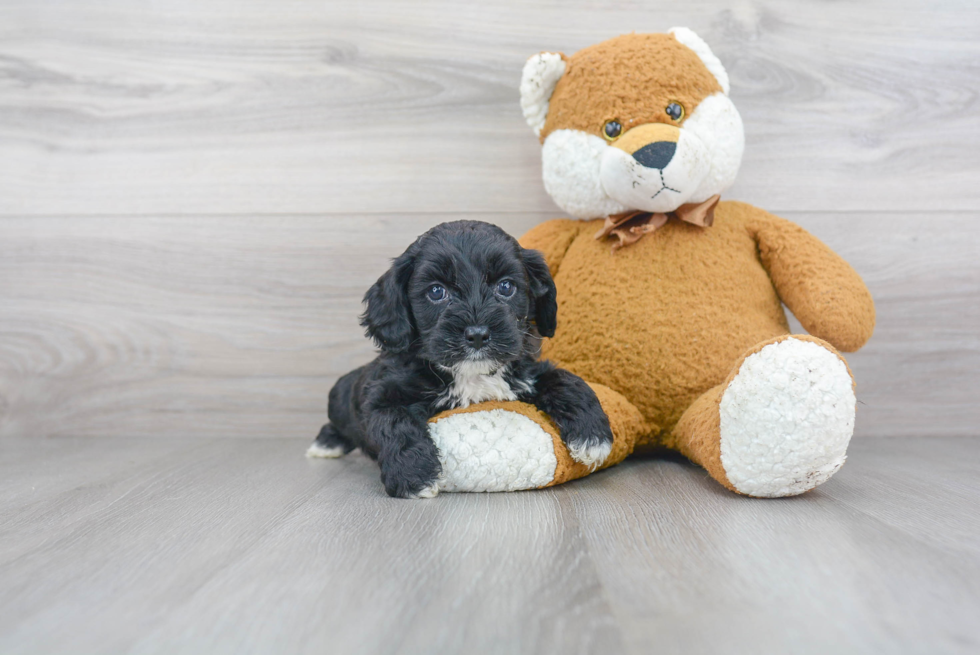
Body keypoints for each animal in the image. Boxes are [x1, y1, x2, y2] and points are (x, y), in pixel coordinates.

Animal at [306, 220, 612, 498]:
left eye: (506, 287)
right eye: (436, 291)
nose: (477, 335)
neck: (469, 374)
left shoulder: (525, 372)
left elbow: (563, 378)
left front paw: (593, 435)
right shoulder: (382, 394)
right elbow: (394, 423)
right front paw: (414, 477)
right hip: (340, 402)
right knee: (335, 425)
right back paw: (326, 445)